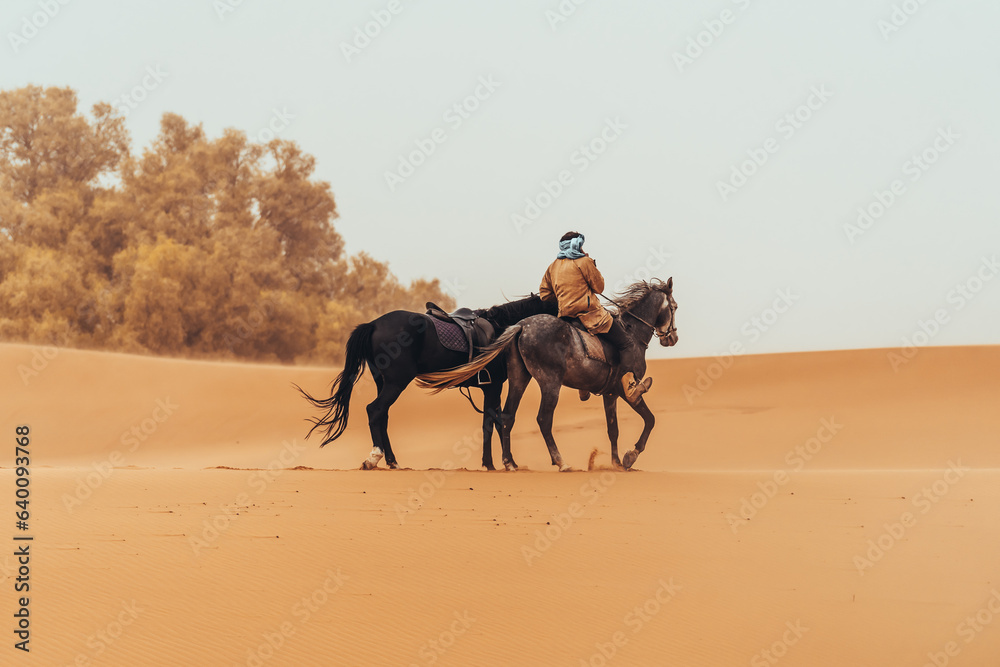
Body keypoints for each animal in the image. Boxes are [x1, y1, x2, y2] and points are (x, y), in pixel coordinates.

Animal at [296, 294, 564, 472]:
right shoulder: (493, 386)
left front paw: (500, 462)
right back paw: (375, 457)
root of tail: (373, 324)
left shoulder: (492, 389)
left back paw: (392, 460)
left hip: (383, 382)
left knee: (382, 416)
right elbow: (491, 424)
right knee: (375, 410)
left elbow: (495, 423)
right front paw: (492, 464)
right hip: (396, 381)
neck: (501, 330)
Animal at [414, 280, 680, 472]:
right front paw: (630, 456)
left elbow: (612, 429)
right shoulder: (628, 392)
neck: (632, 334)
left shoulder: (610, 394)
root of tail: (521, 326)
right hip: (550, 384)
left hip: (519, 380)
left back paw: (510, 463)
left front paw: (615, 463)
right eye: (674, 307)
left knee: (507, 417)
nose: (673, 338)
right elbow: (649, 419)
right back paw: (560, 462)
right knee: (543, 419)